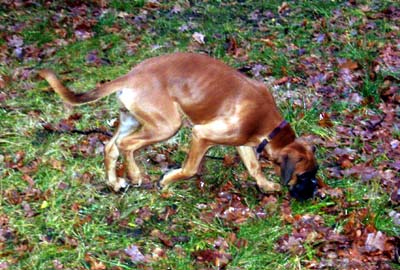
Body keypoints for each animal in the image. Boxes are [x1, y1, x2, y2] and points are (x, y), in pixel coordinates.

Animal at [39, 52, 318, 200]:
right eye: (305, 175)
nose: (313, 193)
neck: (268, 125)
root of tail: (131, 76)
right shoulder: (201, 135)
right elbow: (190, 168)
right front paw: (168, 179)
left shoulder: (243, 143)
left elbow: (253, 167)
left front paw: (266, 185)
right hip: (167, 126)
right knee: (126, 145)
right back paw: (136, 175)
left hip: (132, 119)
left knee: (111, 147)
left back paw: (115, 182)